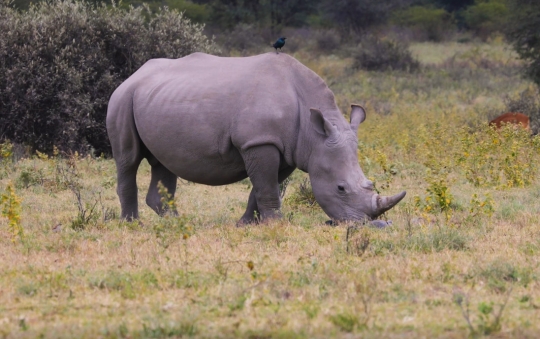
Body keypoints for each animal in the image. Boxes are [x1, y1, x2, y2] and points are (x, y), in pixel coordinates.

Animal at [106, 51, 404, 224]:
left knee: (164, 162)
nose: (366, 224)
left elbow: (263, 187)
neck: (313, 133)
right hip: (122, 98)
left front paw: (247, 223)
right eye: (341, 188)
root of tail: (134, 74)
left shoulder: (288, 148)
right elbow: (266, 186)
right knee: (128, 159)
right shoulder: (259, 141)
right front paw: (276, 224)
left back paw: (176, 221)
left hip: (157, 99)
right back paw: (132, 224)